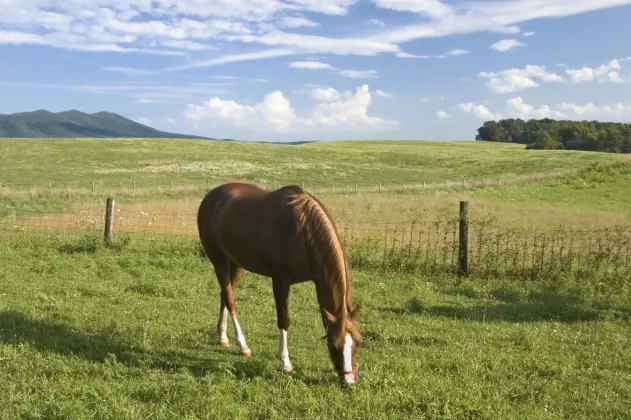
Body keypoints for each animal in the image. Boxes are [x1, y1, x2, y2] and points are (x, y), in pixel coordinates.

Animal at [198, 180, 366, 384]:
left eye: (358, 341)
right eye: (334, 345)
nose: (349, 381)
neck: (302, 229)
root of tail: (211, 196)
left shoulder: (317, 280)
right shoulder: (281, 282)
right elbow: (283, 320)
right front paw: (285, 363)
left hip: (237, 264)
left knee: (225, 293)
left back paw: (223, 337)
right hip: (219, 260)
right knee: (230, 299)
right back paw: (242, 345)